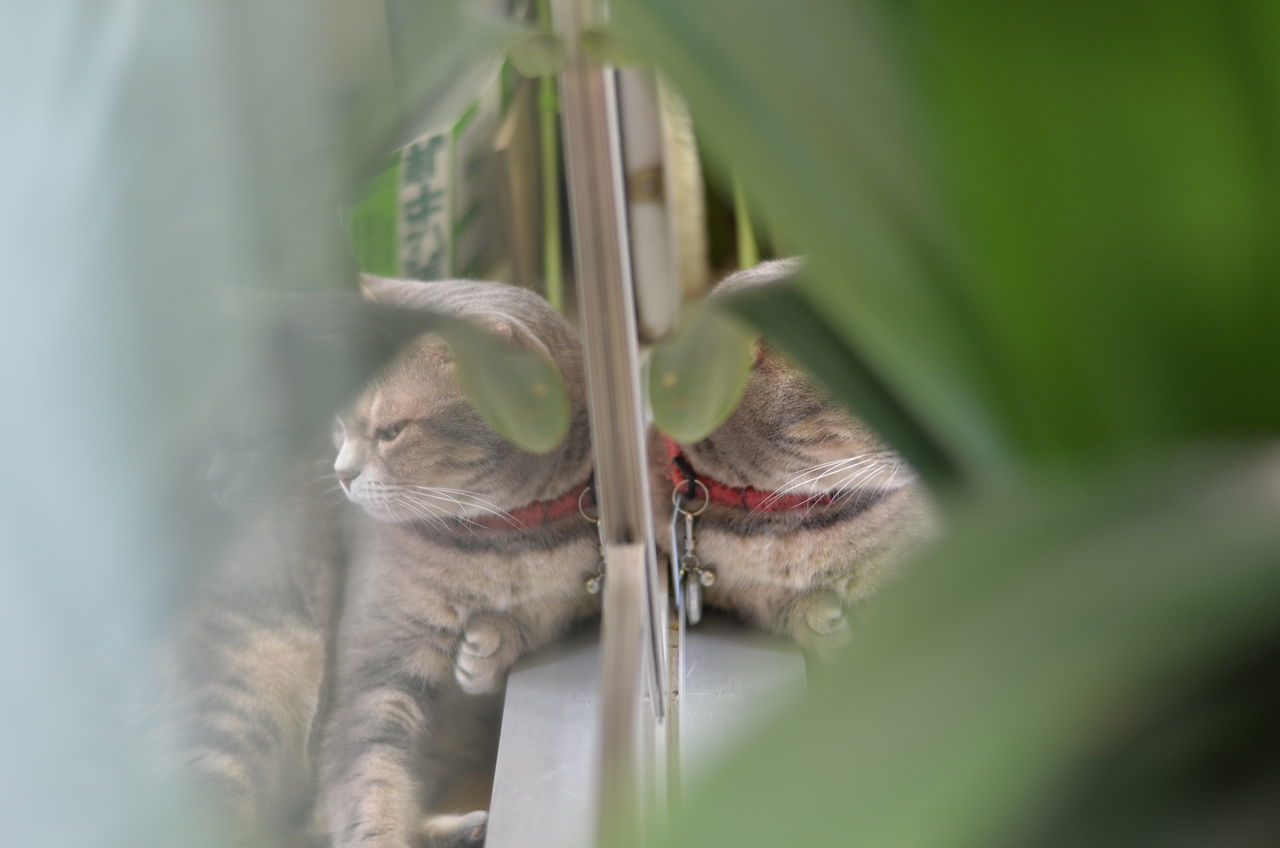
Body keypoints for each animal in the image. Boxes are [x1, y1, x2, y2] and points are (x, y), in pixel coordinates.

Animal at [317, 275, 601, 845]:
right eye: (341, 421)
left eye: (392, 431)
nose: (341, 473)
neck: (503, 541)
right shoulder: (374, 673)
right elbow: (370, 780)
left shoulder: (593, 588)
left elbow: (555, 613)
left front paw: (492, 646)